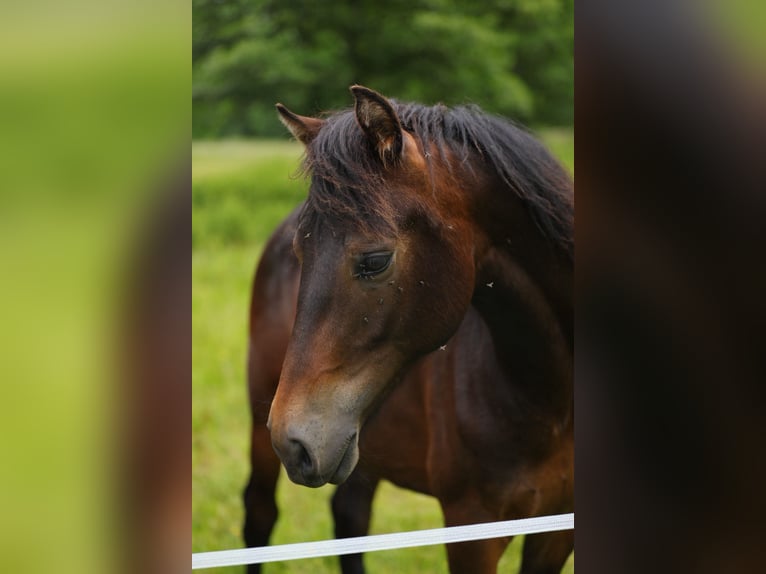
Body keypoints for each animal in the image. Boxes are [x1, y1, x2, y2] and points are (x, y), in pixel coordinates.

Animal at [243, 86, 573, 574]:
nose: (293, 440)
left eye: (375, 261)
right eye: (300, 256)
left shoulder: (556, 531)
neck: (551, 403)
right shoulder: (470, 525)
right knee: (260, 518)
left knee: (350, 517)